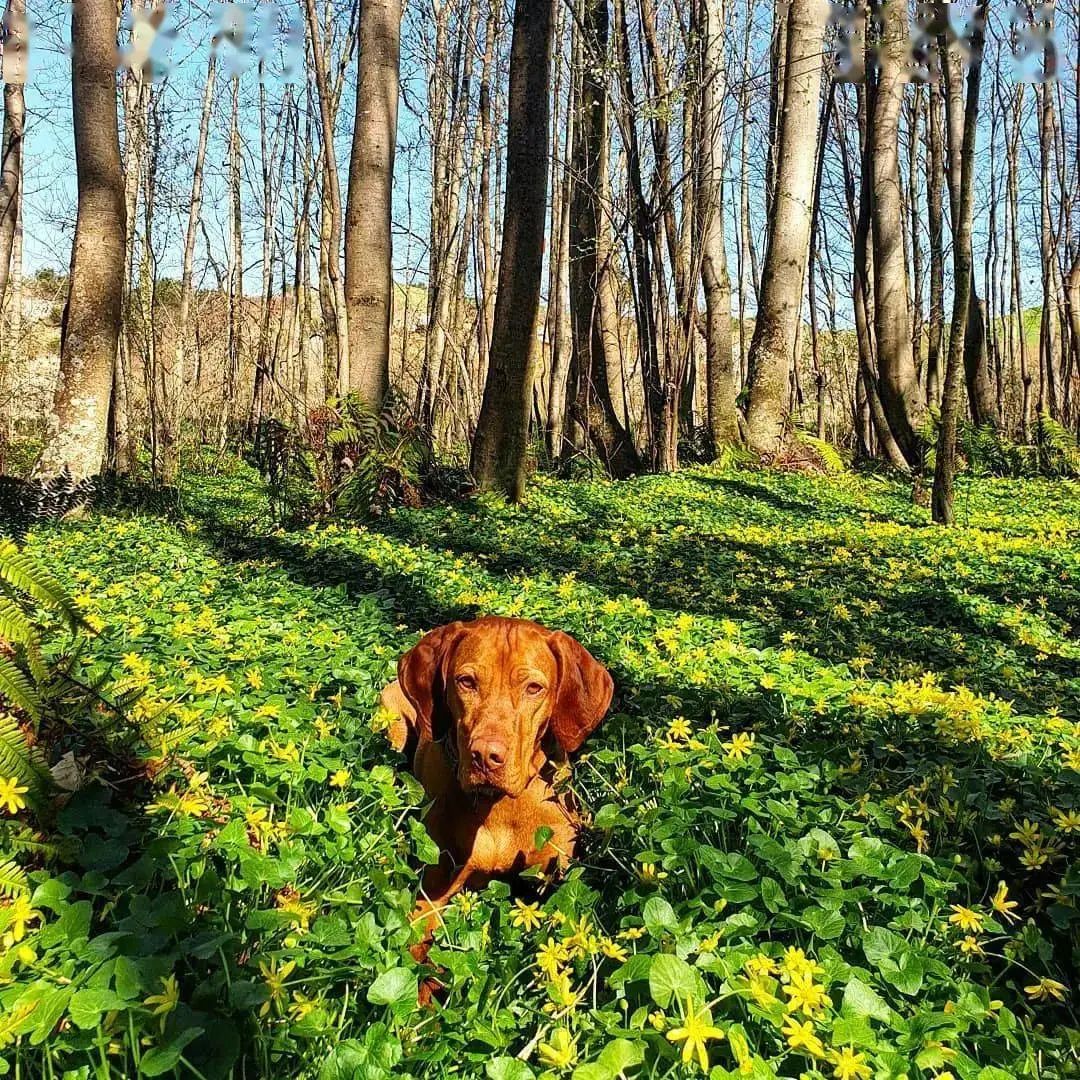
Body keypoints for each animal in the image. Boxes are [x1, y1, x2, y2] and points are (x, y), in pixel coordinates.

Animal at [384, 622, 613, 941]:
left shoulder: (555, 879)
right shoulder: (432, 890)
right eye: (466, 682)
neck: (498, 805)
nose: (485, 756)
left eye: (533, 688)